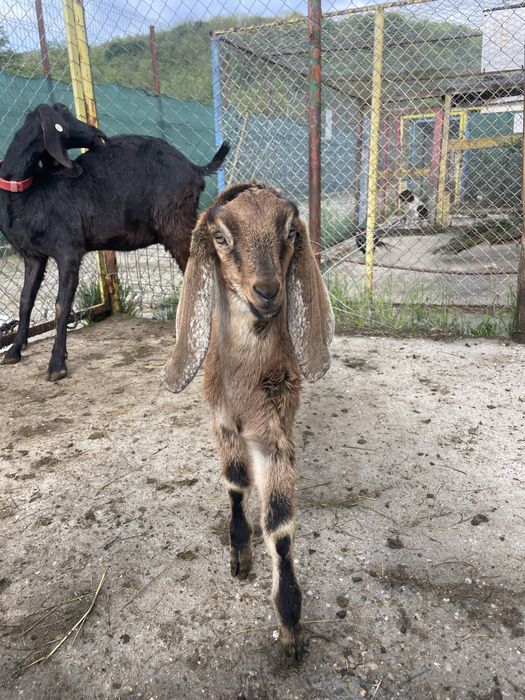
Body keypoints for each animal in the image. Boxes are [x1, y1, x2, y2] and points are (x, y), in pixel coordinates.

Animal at [0, 103, 229, 381]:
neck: (29, 195)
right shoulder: (33, 256)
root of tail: (194, 167)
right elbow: (25, 301)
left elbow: (61, 306)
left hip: (176, 222)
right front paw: (13, 351)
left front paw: (56, 365)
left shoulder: (68, 251)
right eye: (65, 113)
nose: (100, 134)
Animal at [161, 183, 334, 661]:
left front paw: (290, 623)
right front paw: (239, 552)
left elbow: (280, 525)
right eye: (220, 237)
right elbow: (237, 482)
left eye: (290, 232)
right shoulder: (221, 421)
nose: (268, 291)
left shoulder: (273, 431)